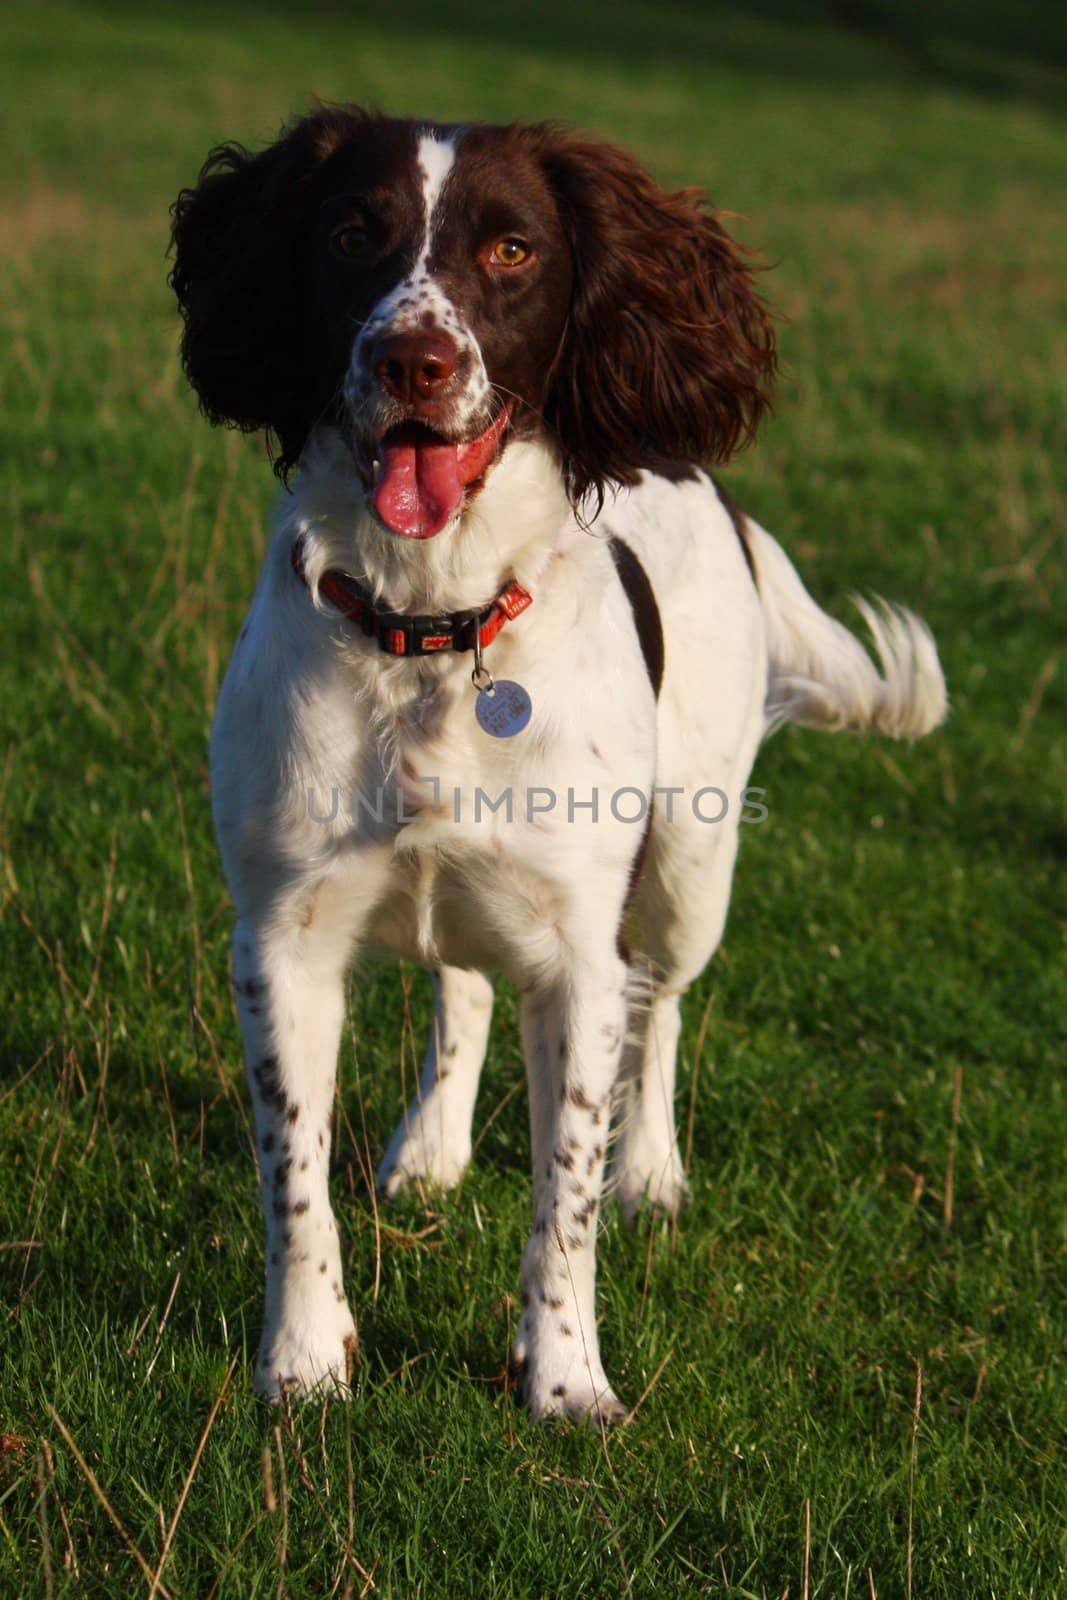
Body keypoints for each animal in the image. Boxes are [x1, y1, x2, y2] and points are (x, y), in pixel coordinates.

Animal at [171, 106, 947, 1420]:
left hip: (690, 858)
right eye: (350, 235)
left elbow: (564, 1188)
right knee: (463, 986)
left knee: (663, 1004)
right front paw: (304, 1360)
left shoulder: (582, 951)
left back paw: (652, 1171)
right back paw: (430, 1146)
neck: (433, 625)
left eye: (511, 250)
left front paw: (566, 1376)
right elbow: (293, 1172)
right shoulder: (279, 936)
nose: (415, 362)